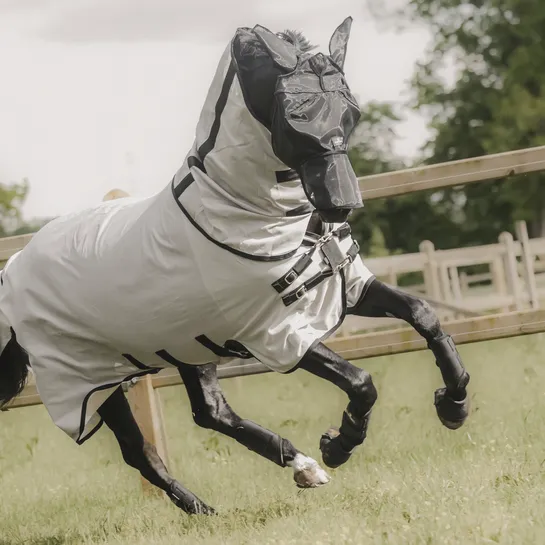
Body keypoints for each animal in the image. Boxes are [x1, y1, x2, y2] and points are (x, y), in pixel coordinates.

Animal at [0, 18, 468, 516]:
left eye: (350, 109)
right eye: (294, 114)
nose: (342, 203)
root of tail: (13, 271)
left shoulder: (345, 289)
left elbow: (423, 314)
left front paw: (453, 405)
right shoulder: (274, 334)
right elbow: (362, 381)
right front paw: (338, 445)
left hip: (184, 348)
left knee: (210, 413)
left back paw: (294, 470)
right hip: (90, 383)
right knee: (140, 451)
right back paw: (215, 505)